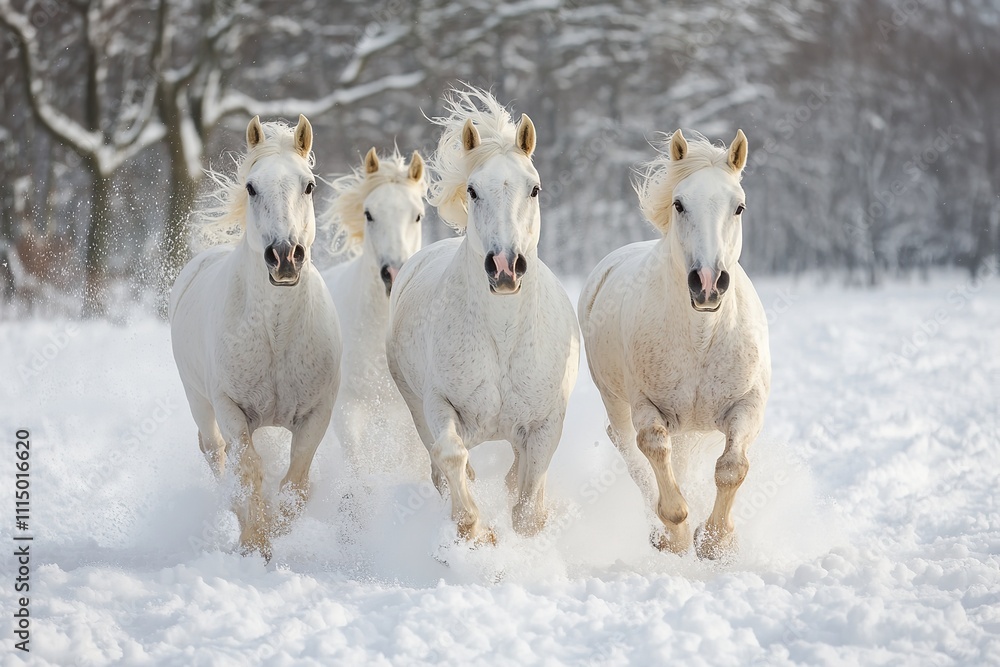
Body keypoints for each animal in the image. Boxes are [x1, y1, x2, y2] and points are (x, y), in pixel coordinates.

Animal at [169, 115, 342, 559]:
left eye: (309, 185)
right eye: (251, 186)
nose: (284, 256)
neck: (275, 335)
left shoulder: (316, 414)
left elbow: (295, 484)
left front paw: (275, 530)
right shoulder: (230, 408)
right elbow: (248, 473)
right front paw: (254, 544)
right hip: (198, 401)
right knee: (215, 453)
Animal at [386, 86, 580, 545]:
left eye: (535, 189)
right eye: (473, 190)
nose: (505, 266)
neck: (504, 335)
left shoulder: (546, 424)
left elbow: (528, 504)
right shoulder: (439, 404)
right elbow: (451, 456)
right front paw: (474, 528)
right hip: (416, 405)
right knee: (442, 466)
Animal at [578, 129, 770, 560]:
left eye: (739, 207)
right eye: (679, 204)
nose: (708, 283)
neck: (700, 338)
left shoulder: (747, 405)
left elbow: (732, 467)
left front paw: (715, 542)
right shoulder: (648, 407)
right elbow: (652, 449)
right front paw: (676, 534)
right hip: (616, 402)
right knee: (632, 454)